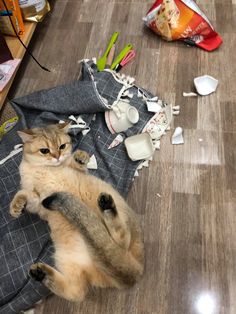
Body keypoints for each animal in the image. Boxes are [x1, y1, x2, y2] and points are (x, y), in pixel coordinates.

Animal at [10, 122, 144, 302]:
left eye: (62, 146)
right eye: (44, 150)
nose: (57, 156)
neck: (45, 169)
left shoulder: (73, 174)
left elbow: (78, 166)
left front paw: (80, 156)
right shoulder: (38, 202)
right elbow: (23, 194)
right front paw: (16, 207)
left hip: (117, 208)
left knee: (123, 238)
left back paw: (107, 206)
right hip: (67, 261)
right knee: (75, 292)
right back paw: (40, 273)